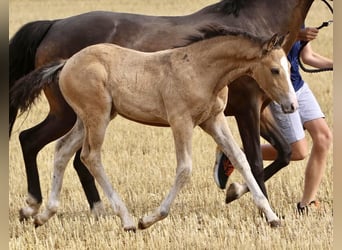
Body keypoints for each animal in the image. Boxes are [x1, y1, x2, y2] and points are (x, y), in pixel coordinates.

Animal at [12, 28, 296, 230]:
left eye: (290, 67)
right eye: (274, 70)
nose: (291, 105)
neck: (201, 70)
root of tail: (67, 63)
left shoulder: (214, 120)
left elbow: (240, 159)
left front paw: (272, 217)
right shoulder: (180, 121)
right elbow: (185, 169)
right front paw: (149, 219)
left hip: (87, 118)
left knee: (62, 150)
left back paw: (43, 214)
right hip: (97, 116)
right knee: (89, 156)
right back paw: (127, 219)